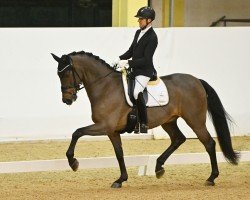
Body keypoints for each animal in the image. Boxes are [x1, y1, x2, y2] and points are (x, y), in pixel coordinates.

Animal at [50, 50, 238, 188]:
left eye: (66, 73)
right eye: (58, 74)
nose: (67, 100)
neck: (105, 87)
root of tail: (197, 81)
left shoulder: (104, 125)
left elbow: (77, 132)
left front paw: (73, 162)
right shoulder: (112, 131)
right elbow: (119, 153)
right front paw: (121, 179)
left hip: (195, 120)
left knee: (209, 143)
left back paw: (211, 178)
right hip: (169, 121)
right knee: (178, 139)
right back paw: (159, 167)